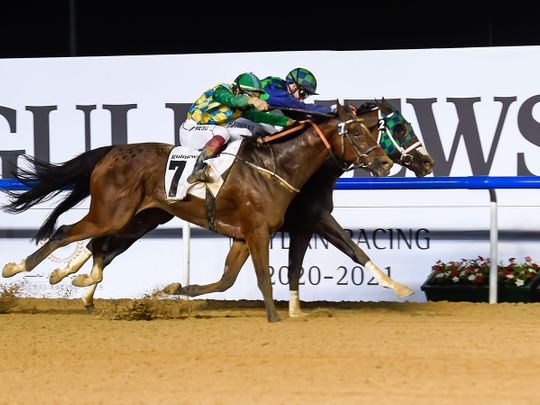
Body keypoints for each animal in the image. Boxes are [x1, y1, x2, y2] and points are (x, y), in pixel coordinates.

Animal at [1, 104, 392, 322]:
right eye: (358, 132)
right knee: (67, 232)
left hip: (141, 216)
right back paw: (21, 268)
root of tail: (111, 152)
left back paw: (84, 281)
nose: (385, 163)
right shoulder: (258, 230)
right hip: (111, 212)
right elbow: (263, 276)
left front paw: (180, 288)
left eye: (374, 131)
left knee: (100, 245)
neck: (275, 165)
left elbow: (229, 279)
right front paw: (274, 318)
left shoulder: (246, 234)